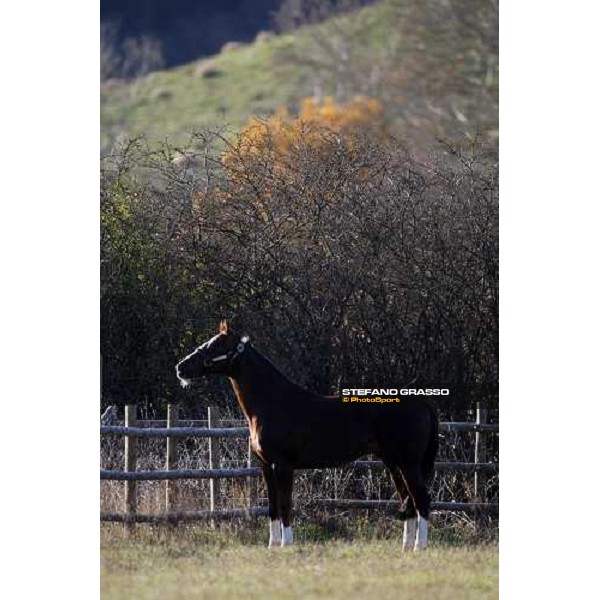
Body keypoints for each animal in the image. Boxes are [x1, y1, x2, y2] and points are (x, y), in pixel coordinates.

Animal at [176, 322, 438, 552]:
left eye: (215, 346)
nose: (181, 367)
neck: (273, 403)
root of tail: (421, 401)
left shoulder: (283, 466)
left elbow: (285, 505)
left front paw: (287, 544)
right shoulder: (265, 466)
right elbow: (272, 507)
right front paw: (273, 546)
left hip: (408, 463)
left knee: (421, 500)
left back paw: (419, 547)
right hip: (393, 463)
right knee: (409, 501)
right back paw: (406, 547)